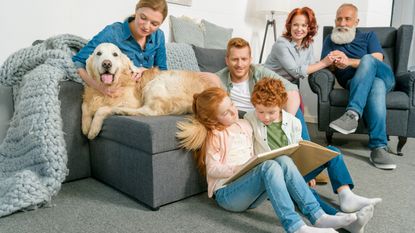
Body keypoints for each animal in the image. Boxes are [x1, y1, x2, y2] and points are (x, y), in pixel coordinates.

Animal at [83, 42, 216, 139]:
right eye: (98, 53)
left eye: (115, 54)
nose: (106, 64)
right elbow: (84, 106)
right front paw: (85, 126)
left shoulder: (131, 101)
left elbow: (102, 109)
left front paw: (93, 128)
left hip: (155, 83)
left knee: (148, 111)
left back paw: (120, 111)